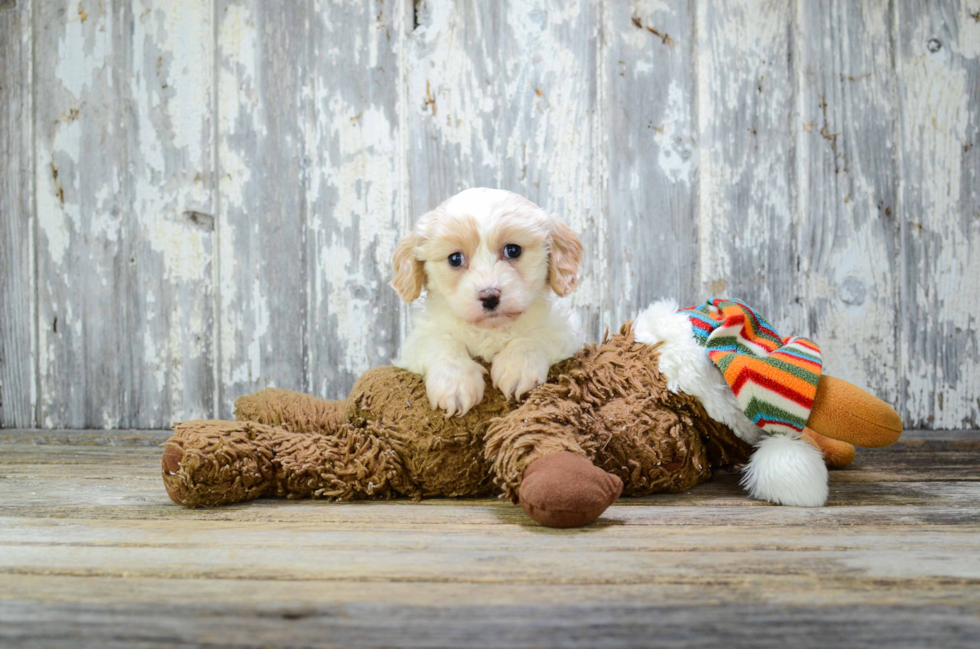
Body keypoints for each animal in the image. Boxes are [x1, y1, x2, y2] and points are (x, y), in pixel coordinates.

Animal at [390, 187, 584, 416]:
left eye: (513, 250)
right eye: (455, 259)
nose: (489, 296)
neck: (491, 329)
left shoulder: (566, 328)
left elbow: (538, 334)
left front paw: (518, 366)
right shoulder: (416, 342)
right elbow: (440, 342)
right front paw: (455, 382)